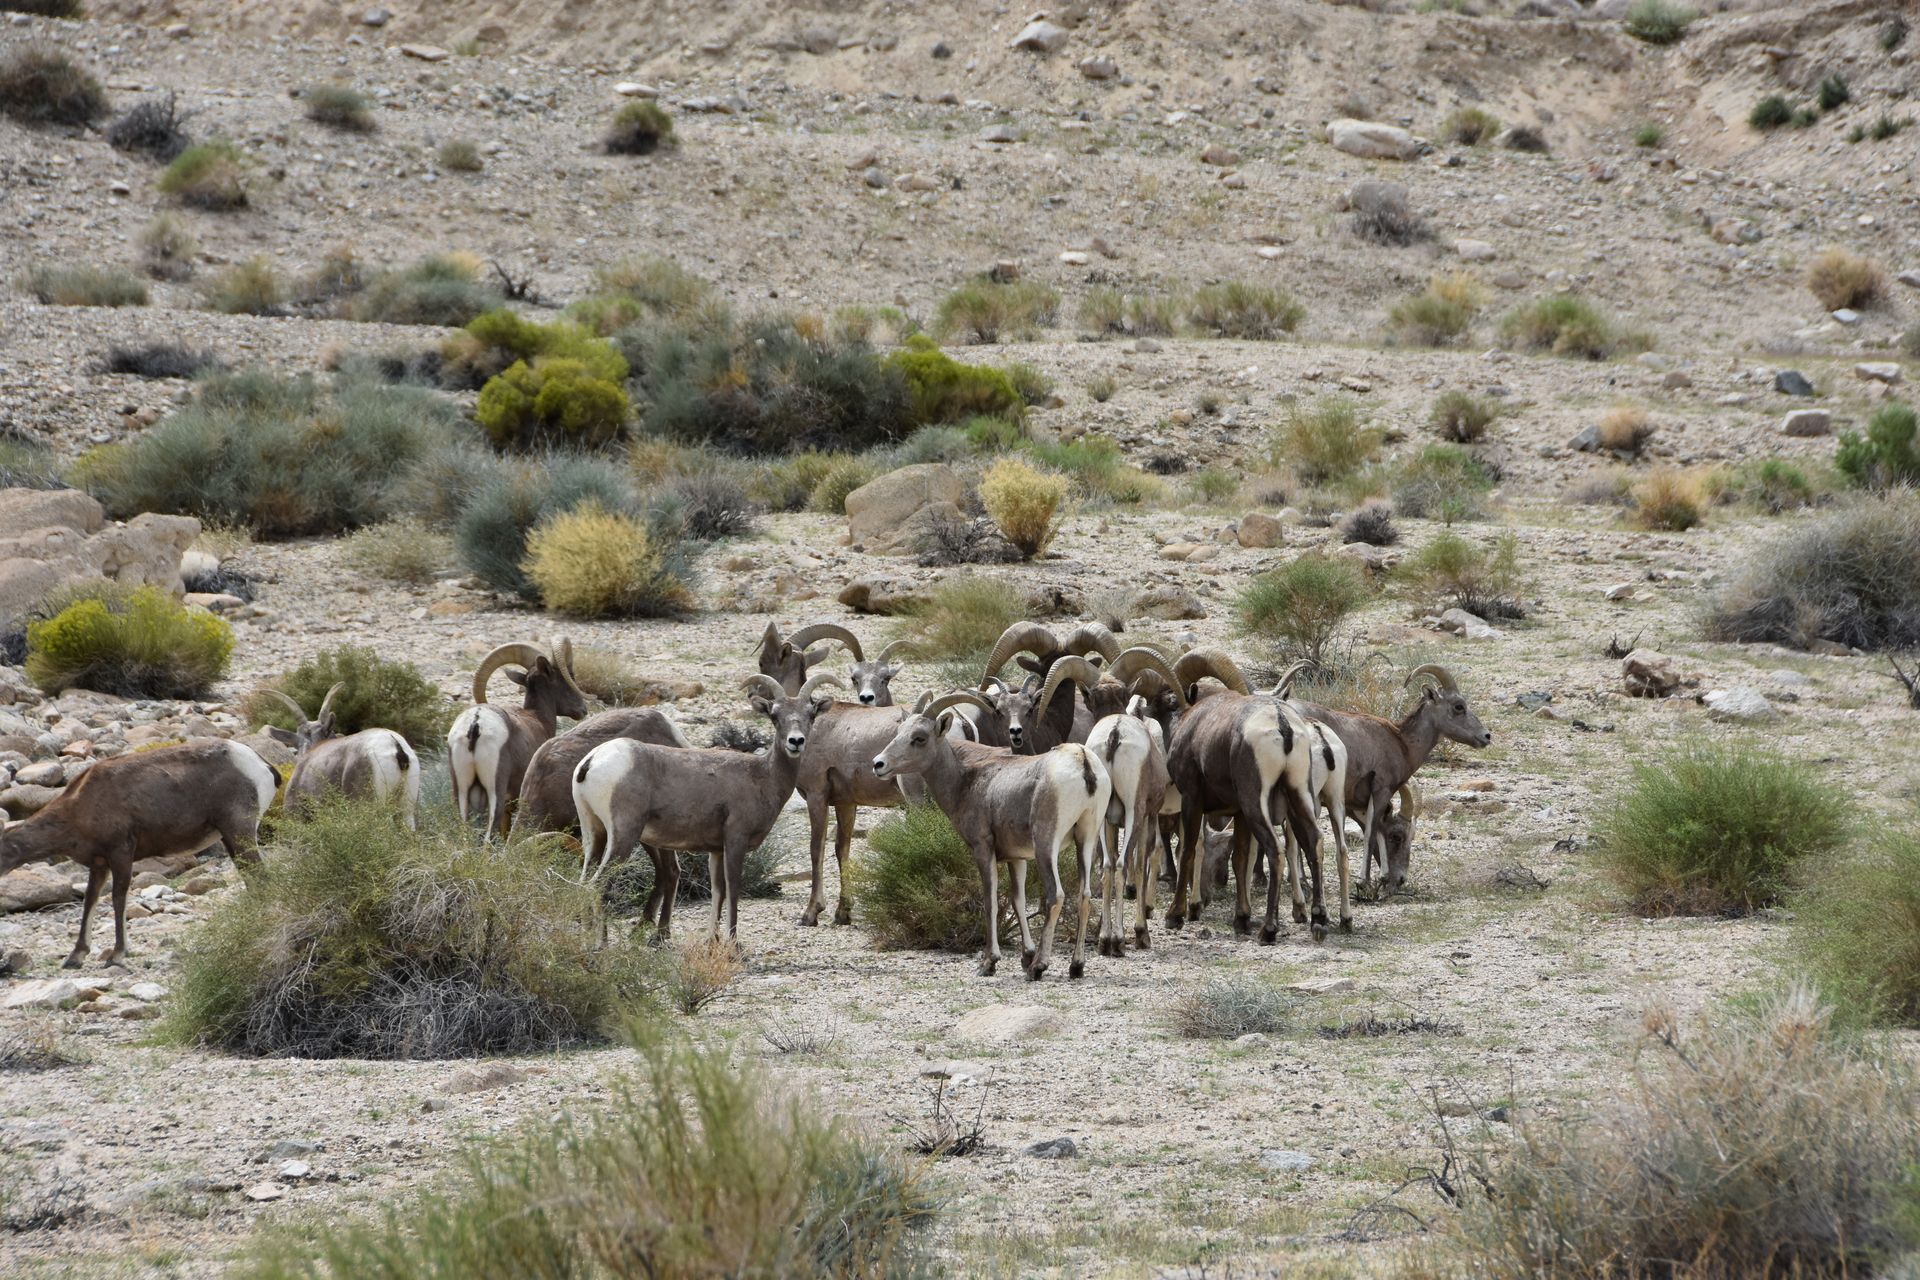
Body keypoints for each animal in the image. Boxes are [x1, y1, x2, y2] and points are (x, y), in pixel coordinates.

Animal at [0, 740, 277, 968]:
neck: (78, 808)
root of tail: (262, 765)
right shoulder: (99, 864)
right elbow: (90, 900)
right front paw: (75, 958)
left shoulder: (121, 853)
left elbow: (118, 898)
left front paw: (117, 956)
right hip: (232, 840)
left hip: (239, 832)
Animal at [446, 639, 588, 839]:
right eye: (569, 678)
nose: (583, 710)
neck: (536, 717)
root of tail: (476, 723)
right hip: (494, 794)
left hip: (461, 794)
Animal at [573, 673, 842, 942]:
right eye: (774, 716)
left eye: (811, 715)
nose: (795, 742)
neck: (762, 776)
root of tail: (592, 761)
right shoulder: (735, 841)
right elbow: (733, 891)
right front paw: (733, 945)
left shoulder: (716, 850)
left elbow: (718, 891)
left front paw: (712, 940)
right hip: (623, 836)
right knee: (597, 885)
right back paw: (601, 944)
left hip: (594, 834)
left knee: (584, 882)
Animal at [871, 690, 1112, 981]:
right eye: (899, 732)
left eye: (919, 738)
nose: (878, 764)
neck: (967, 778)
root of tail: (1082, 761)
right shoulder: (1017, 858)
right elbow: (1018, 900)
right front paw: (1025, 956)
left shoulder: (982, 849)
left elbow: (991, 901)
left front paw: (990, 962)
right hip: (1086, 838)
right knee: (1084, 895)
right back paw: (1075, 967)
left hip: (1047, 845)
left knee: (1056, 895)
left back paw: (1039, 968)